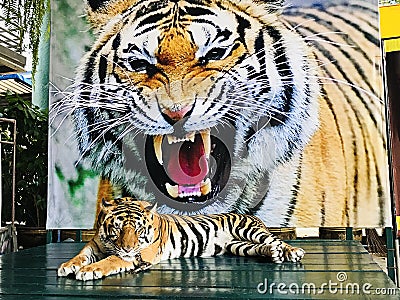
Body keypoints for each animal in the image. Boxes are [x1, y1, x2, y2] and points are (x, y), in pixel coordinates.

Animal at [57, 198, 304, 280]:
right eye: (117, 229)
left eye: (138, 230)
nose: (127, 248)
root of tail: (251, 214)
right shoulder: (95, 245)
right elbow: (80, 255)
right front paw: (68, 266)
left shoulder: (136, 255)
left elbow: (110, 260)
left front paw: (89, 271)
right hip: (237, 246)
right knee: (263, 247)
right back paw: (272, 254)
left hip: (249, 230)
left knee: (275, 240)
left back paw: (292, 252)